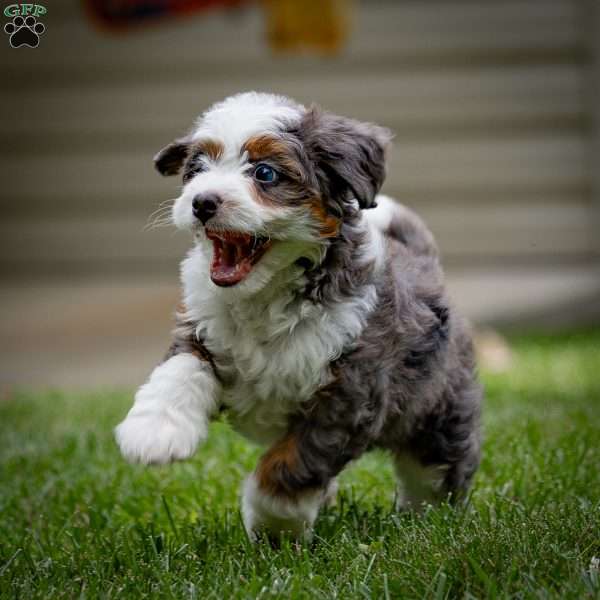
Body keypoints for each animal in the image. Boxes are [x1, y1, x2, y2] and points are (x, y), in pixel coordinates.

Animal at [116, 91, 482, 540]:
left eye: (265, 173)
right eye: (196, 170)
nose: (202, 202)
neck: (266, 296)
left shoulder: (348, 396)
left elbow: (291, 467)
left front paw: (274, 526)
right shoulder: (201, 329)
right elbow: (179, 369)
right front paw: (154, 431)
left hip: (439, 414)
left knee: (436, 470)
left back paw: (425, 521)